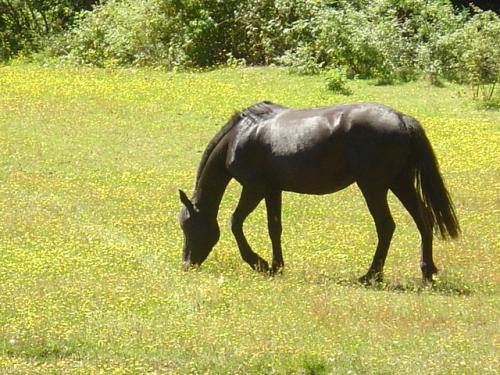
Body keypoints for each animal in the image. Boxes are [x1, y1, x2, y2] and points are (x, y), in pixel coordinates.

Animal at [178, 101, 458, 284]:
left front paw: (259, 264)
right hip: (400, 183)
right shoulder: (272, 190)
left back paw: (371, 276)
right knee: (424, 221)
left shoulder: (253, 188)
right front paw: (277, 267)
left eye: (188, 226)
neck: (241, 135)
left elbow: (235, 222)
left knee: (386, 226)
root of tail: (402, 119)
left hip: (374, 187)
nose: (187, 264)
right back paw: (427, 272)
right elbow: (274, 228)